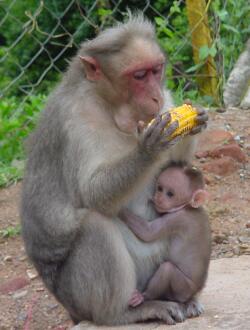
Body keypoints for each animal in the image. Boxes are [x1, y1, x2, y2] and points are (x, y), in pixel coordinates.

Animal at [120, 162, 210, 306]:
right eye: (160, 188)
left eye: (170, 194)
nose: (158, 198)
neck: (188, 207)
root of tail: (194, 293)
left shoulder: (177, 218)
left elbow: (148, 232)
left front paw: (119, 210)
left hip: (183, 288)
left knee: (167, 269)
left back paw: (144, 296)